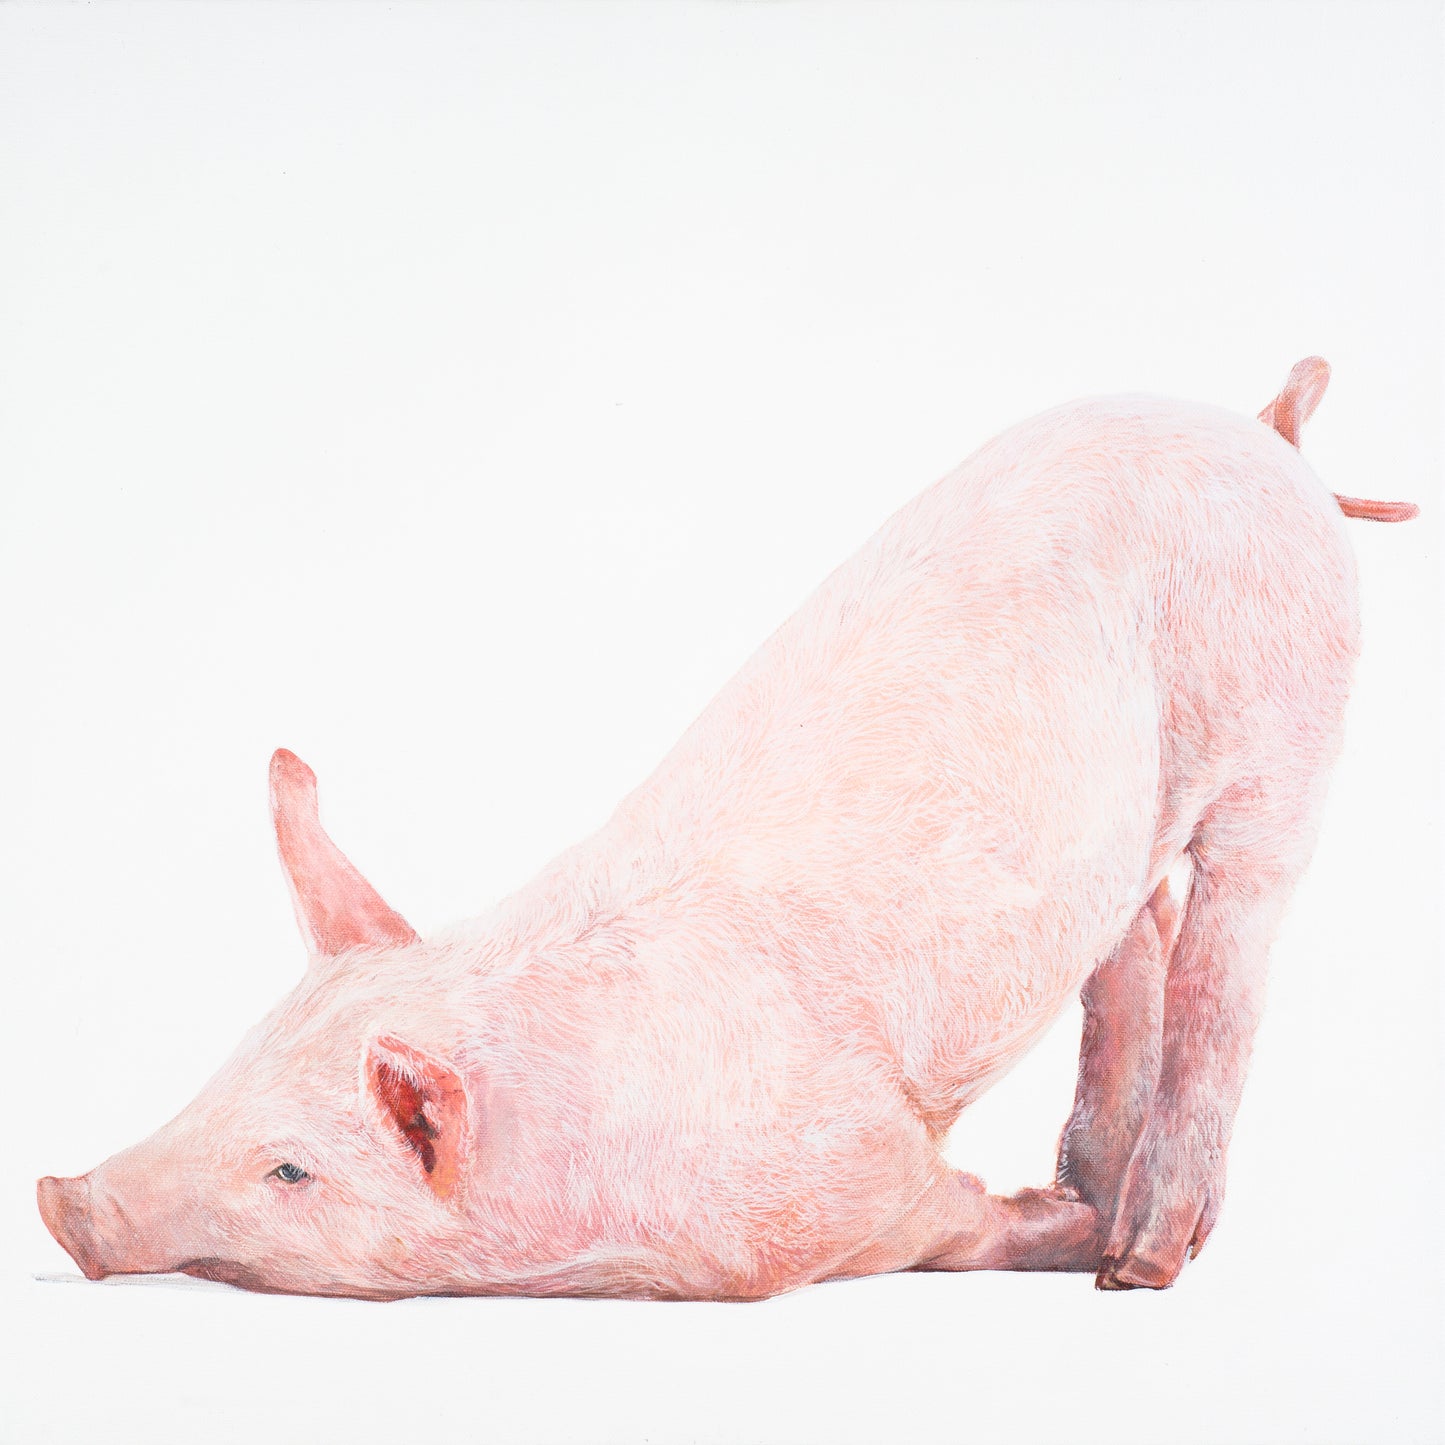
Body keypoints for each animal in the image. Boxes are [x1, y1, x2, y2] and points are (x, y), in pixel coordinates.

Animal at [38, 357, 1417, 1300]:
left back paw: (1140, 1252)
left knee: (1232, 939)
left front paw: (1074, 1234)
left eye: (290, 1169)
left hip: (1286, 717)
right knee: (1136, 915)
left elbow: (951, 1219)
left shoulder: (849, 1184)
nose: (60, 1198)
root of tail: (1266, 435)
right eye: (224, 1071)